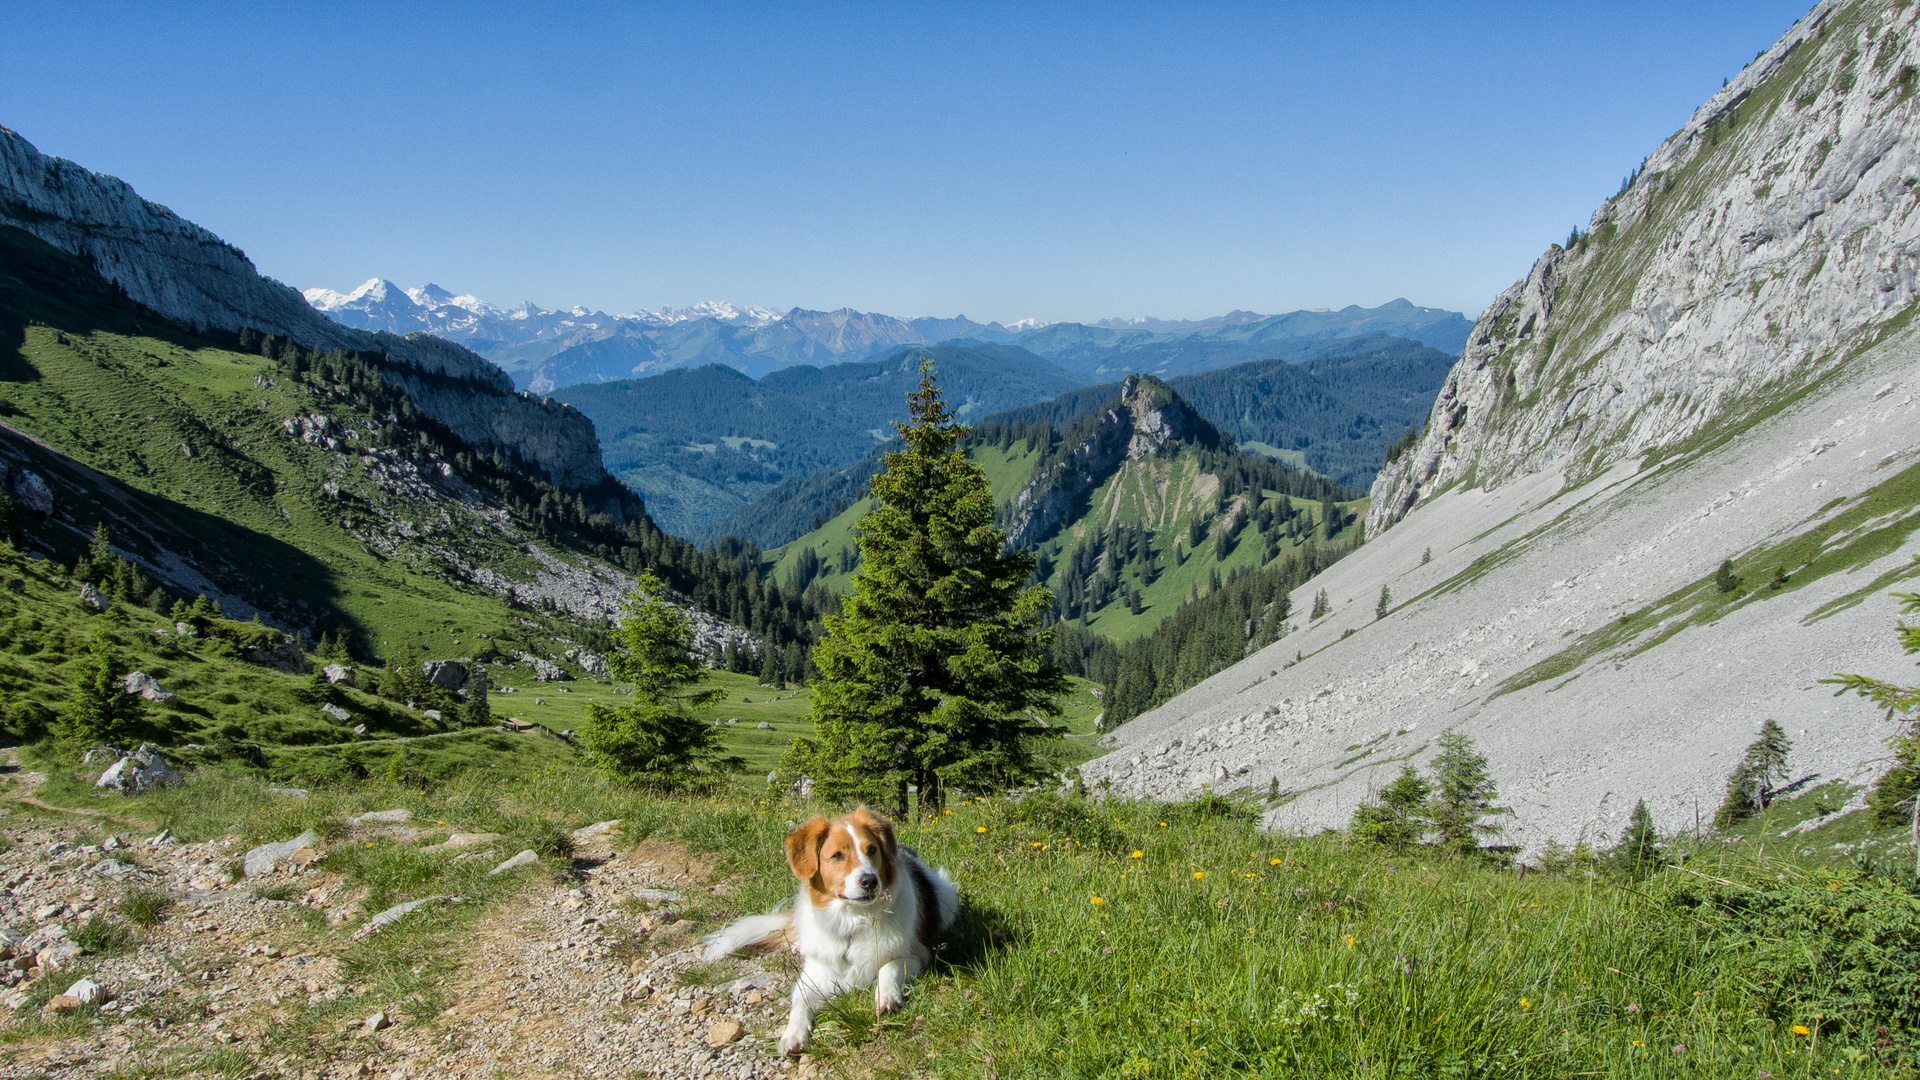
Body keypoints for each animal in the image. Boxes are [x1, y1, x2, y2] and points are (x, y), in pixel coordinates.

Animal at [702, 807, 956, 1053]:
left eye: (872, 849)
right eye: (837, 856)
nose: (870, 881)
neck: (853, 920)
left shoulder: (916, 955)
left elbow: (888, 967)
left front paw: (886, 997)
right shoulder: (816, 972)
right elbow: (799, 1000)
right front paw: (792, 1035)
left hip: (947, 895)